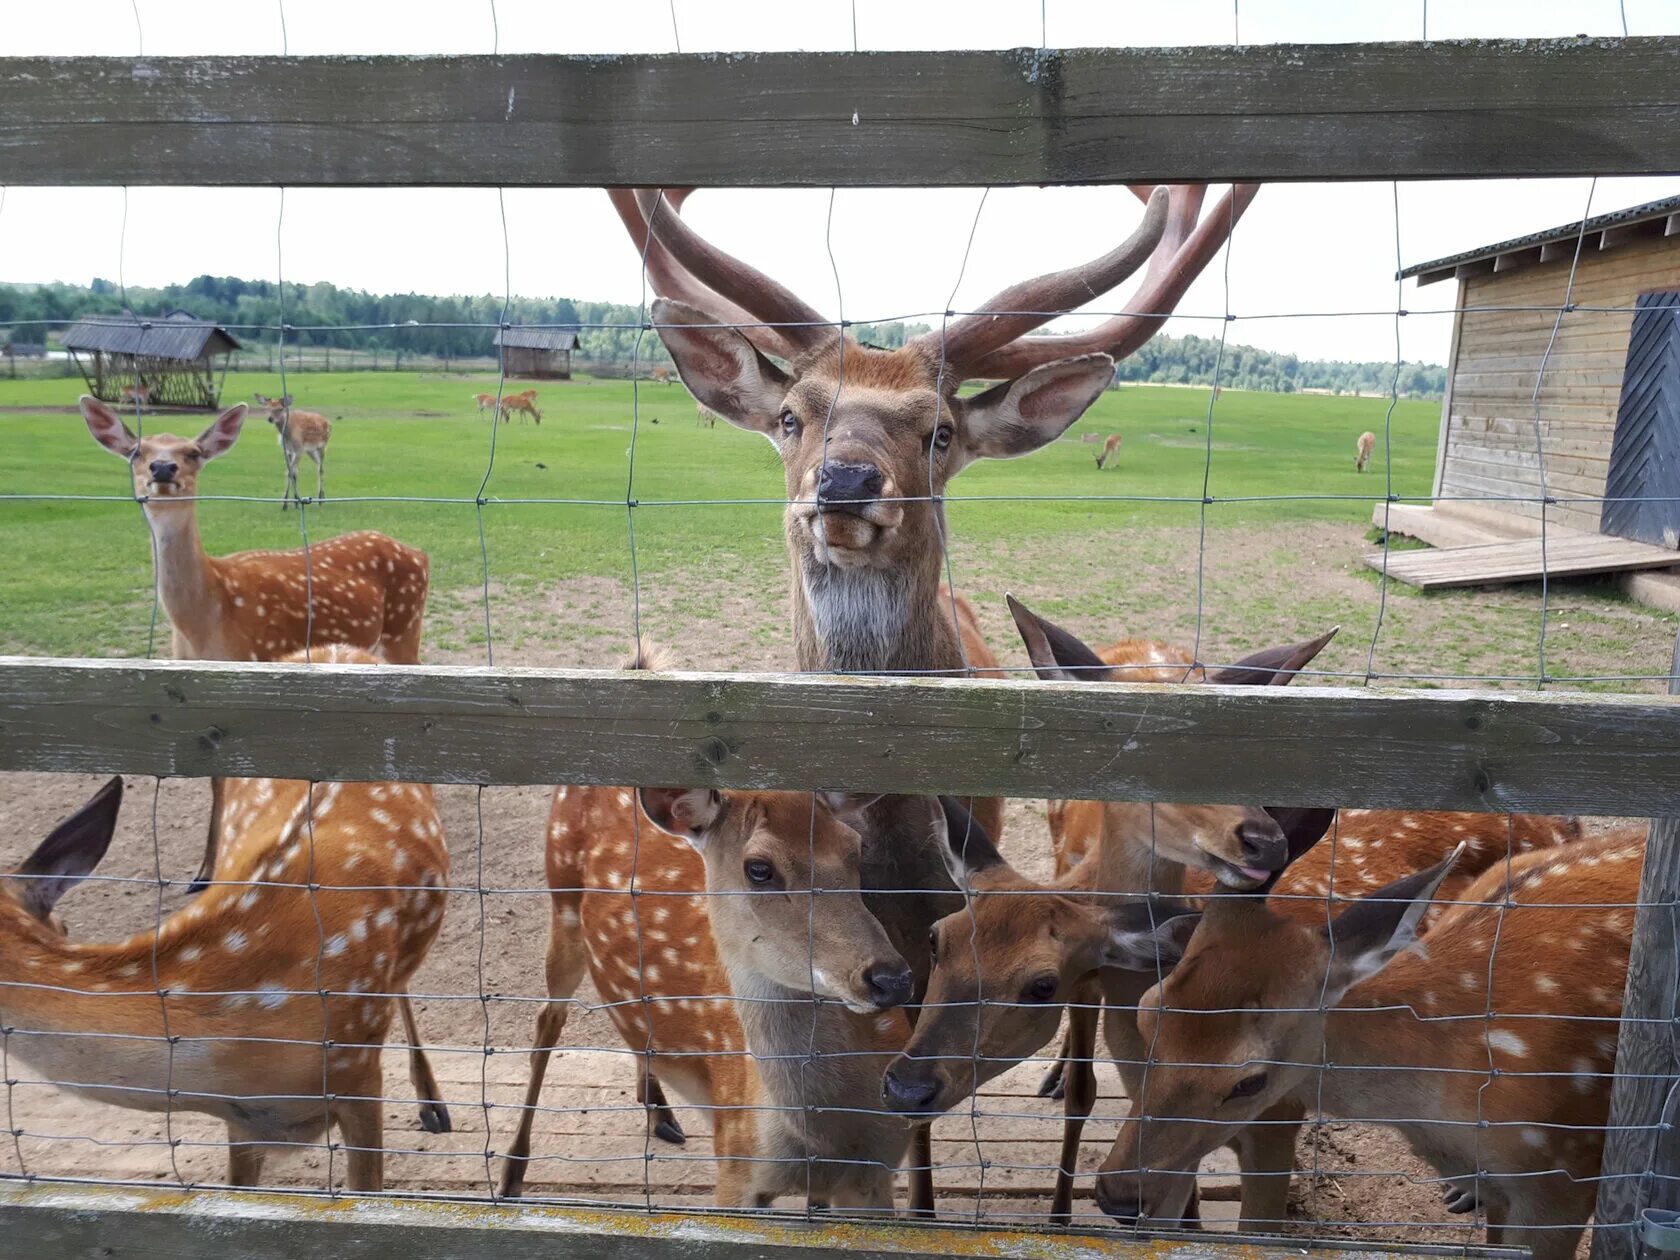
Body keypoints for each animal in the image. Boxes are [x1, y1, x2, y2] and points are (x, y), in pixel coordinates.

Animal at [500, 651, 920, 1216]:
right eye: (759, 868)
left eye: (855, 849)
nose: (890, 979)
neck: (825, 1139)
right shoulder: (734, 1161)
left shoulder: (876, 1175)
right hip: (560, 893)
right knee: (547, 1021)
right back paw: (511, 1172)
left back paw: (659, 1112)